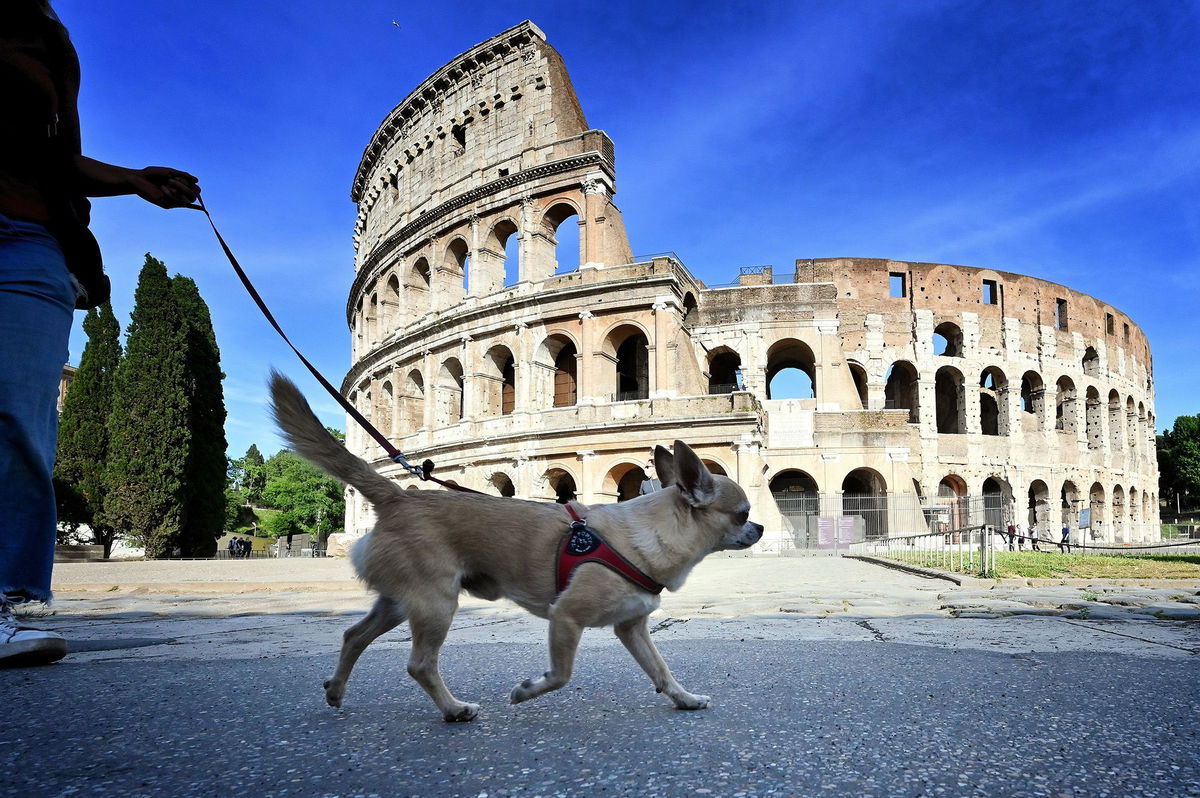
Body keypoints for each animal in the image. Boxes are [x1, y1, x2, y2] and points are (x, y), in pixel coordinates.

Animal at [268, 369, 763, 720]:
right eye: (742, 513)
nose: (758, 528)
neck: (647, 533)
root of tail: (400, 496)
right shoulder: (566, 618)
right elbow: (561, 674)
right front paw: (526, 691)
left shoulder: (632, 628)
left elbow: (660, 668)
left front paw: (683, 698)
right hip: (436, 603)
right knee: (420, 664)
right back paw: (454, 710)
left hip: (398, 602)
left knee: (353, 636)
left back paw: (337, 691)